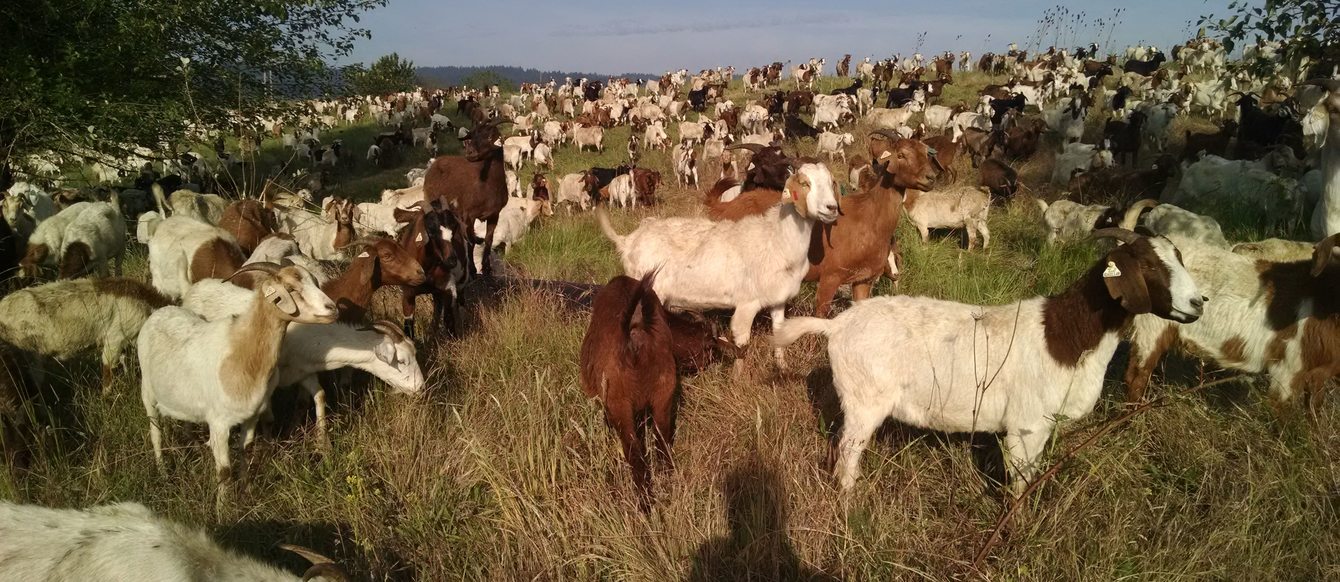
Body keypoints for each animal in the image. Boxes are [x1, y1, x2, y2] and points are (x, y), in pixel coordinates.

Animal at [777, 229, 1206, 493]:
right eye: (1148, 266)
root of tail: (837, 326)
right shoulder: (1027, 427)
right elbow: (1019, 486)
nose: (1197, 303)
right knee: (848, 453)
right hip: (865, 401)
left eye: (1180, 258)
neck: (1065, 337)